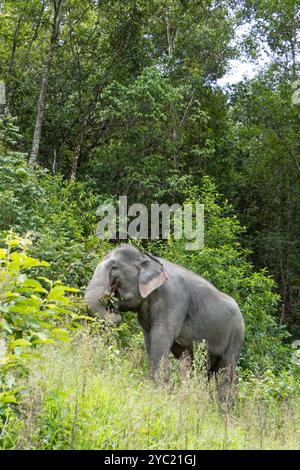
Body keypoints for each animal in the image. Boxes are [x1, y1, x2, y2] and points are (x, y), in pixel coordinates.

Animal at [84, 244, 244, 384]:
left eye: (114, 268)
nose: (113, 310)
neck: (149, 258)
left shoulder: (173, 300)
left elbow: (160, 337)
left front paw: (160, 389)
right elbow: (150, 340)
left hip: (236, 337)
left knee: (224, 374)